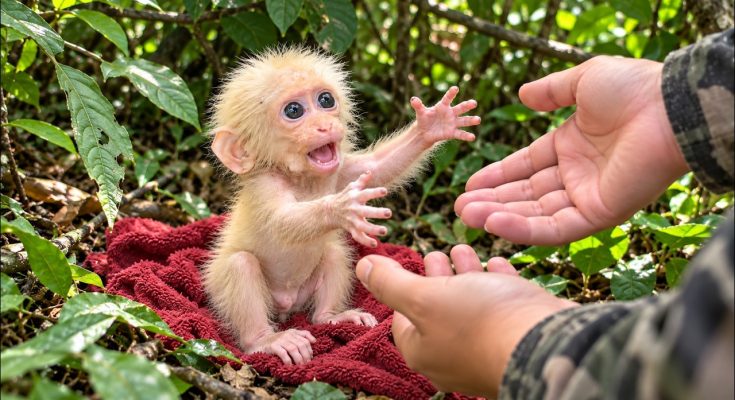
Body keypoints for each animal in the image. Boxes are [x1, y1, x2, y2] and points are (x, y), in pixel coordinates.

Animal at [203, 46, 480, 365]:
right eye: (294, 111)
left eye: (326, 100)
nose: (325, 125)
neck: (303, 179)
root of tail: (287, 308)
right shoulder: (265, 183)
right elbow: (279, 221)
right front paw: (341, 208)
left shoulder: (340, 171)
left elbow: (376, 168)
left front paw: (432, 125)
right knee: (240, 264)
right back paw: (265, 340)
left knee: (333, 254)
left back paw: (331, 318)